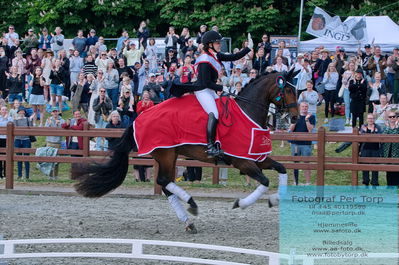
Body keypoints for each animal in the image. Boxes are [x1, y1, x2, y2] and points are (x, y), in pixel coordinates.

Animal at [71, 68, 300, 233]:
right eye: (288, 90)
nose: (296, 117)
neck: (247, 112)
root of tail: (138, 119)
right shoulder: (242, 161)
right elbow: (265, 181)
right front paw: (241, 203)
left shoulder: (258, 158)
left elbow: (281, 170)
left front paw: (274, 199)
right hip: (165, 154)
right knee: (164, 181)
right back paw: (191, 206)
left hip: (170, 155)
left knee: (165, 183)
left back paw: (188, 221)